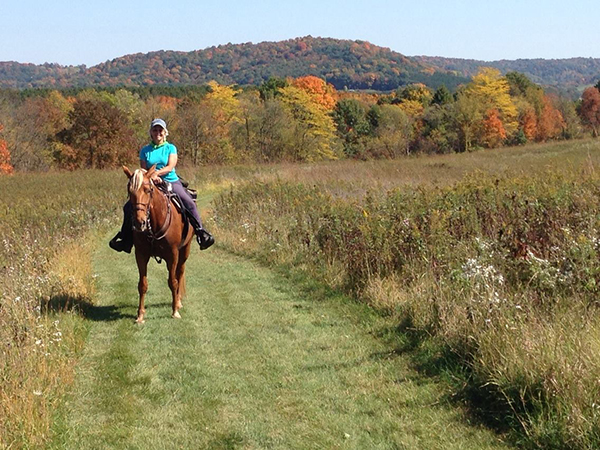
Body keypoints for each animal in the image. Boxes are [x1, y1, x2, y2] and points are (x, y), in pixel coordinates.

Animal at [123, 165, 193, 324]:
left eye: (148, 190)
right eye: (130, 191)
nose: (139, 222)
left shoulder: (173, 254)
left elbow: (172, 282)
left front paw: (175, 312)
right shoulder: (141, 254)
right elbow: (142, 284)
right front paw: (140, 315)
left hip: (185, 250)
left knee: (180, 273)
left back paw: (178, 302)